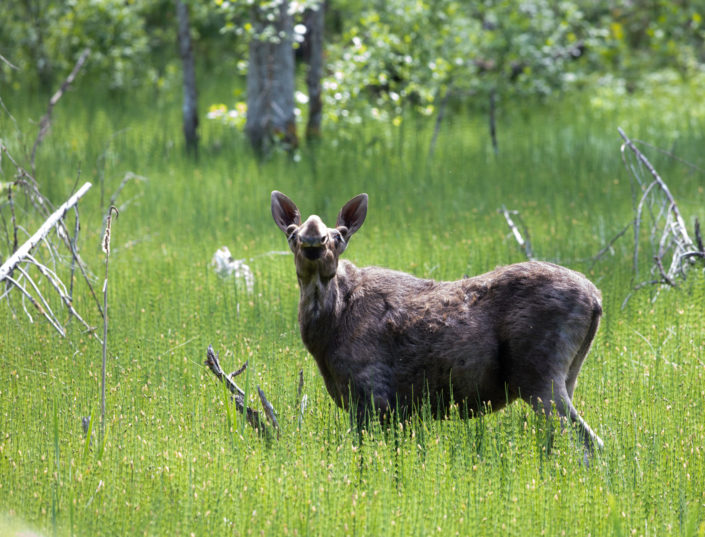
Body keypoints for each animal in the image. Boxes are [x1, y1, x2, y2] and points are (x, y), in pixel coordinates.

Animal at [272, 191, 604, 450]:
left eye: (340, 235)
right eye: (292, 233)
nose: (312, 238)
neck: (325, 335)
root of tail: (597, 300)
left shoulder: (374, 396)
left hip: (539, 377)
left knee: (588, 442)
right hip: (567, 376)